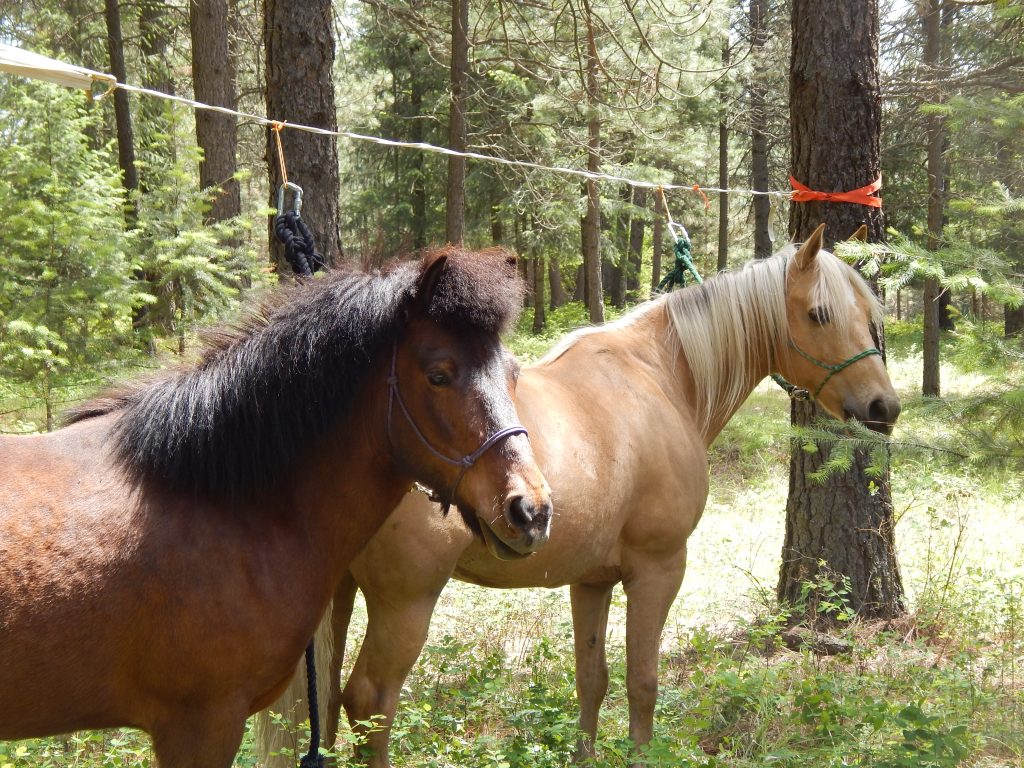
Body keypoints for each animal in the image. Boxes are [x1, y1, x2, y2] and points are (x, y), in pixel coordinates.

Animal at [260, 225, 901, 765]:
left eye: (869, 317)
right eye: (819, 314)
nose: (883, 406)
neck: (660, 379)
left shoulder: (590, 580)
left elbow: (591, 680)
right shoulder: (658, 569)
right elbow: (643, 682)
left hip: (339, 596)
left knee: (326, 707)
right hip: (406, 602)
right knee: (369, 700)